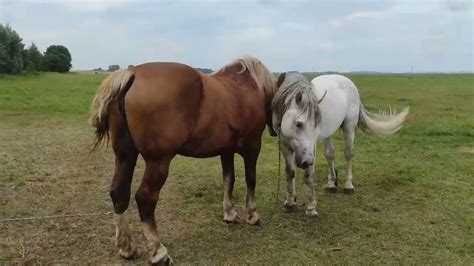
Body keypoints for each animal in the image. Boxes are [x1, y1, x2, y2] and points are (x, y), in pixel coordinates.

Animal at [89, 56, 276, 264]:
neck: (248, 87)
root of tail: (132, 74)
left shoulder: (226, 151)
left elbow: (229, 179)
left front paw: (230, 214)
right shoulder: (253, 148)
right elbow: (251, 180)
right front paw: (252, 215)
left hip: (125, 155)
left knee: (119, 193)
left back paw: (127, 248)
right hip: (158, 161)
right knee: (145, 198)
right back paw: (158, 252)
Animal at [272, 71, 410, 219]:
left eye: (316, 124)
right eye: (298, 124)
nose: (306, 162)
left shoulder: (311, 148)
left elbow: (308, 177)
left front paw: (311, 210)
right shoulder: (284, 145)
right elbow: (290, 172)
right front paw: (290, 203)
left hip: (349, 127)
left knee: (348, 153)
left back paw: (348, 186)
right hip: (327, 133)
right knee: (330, 154)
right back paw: (331, 184)